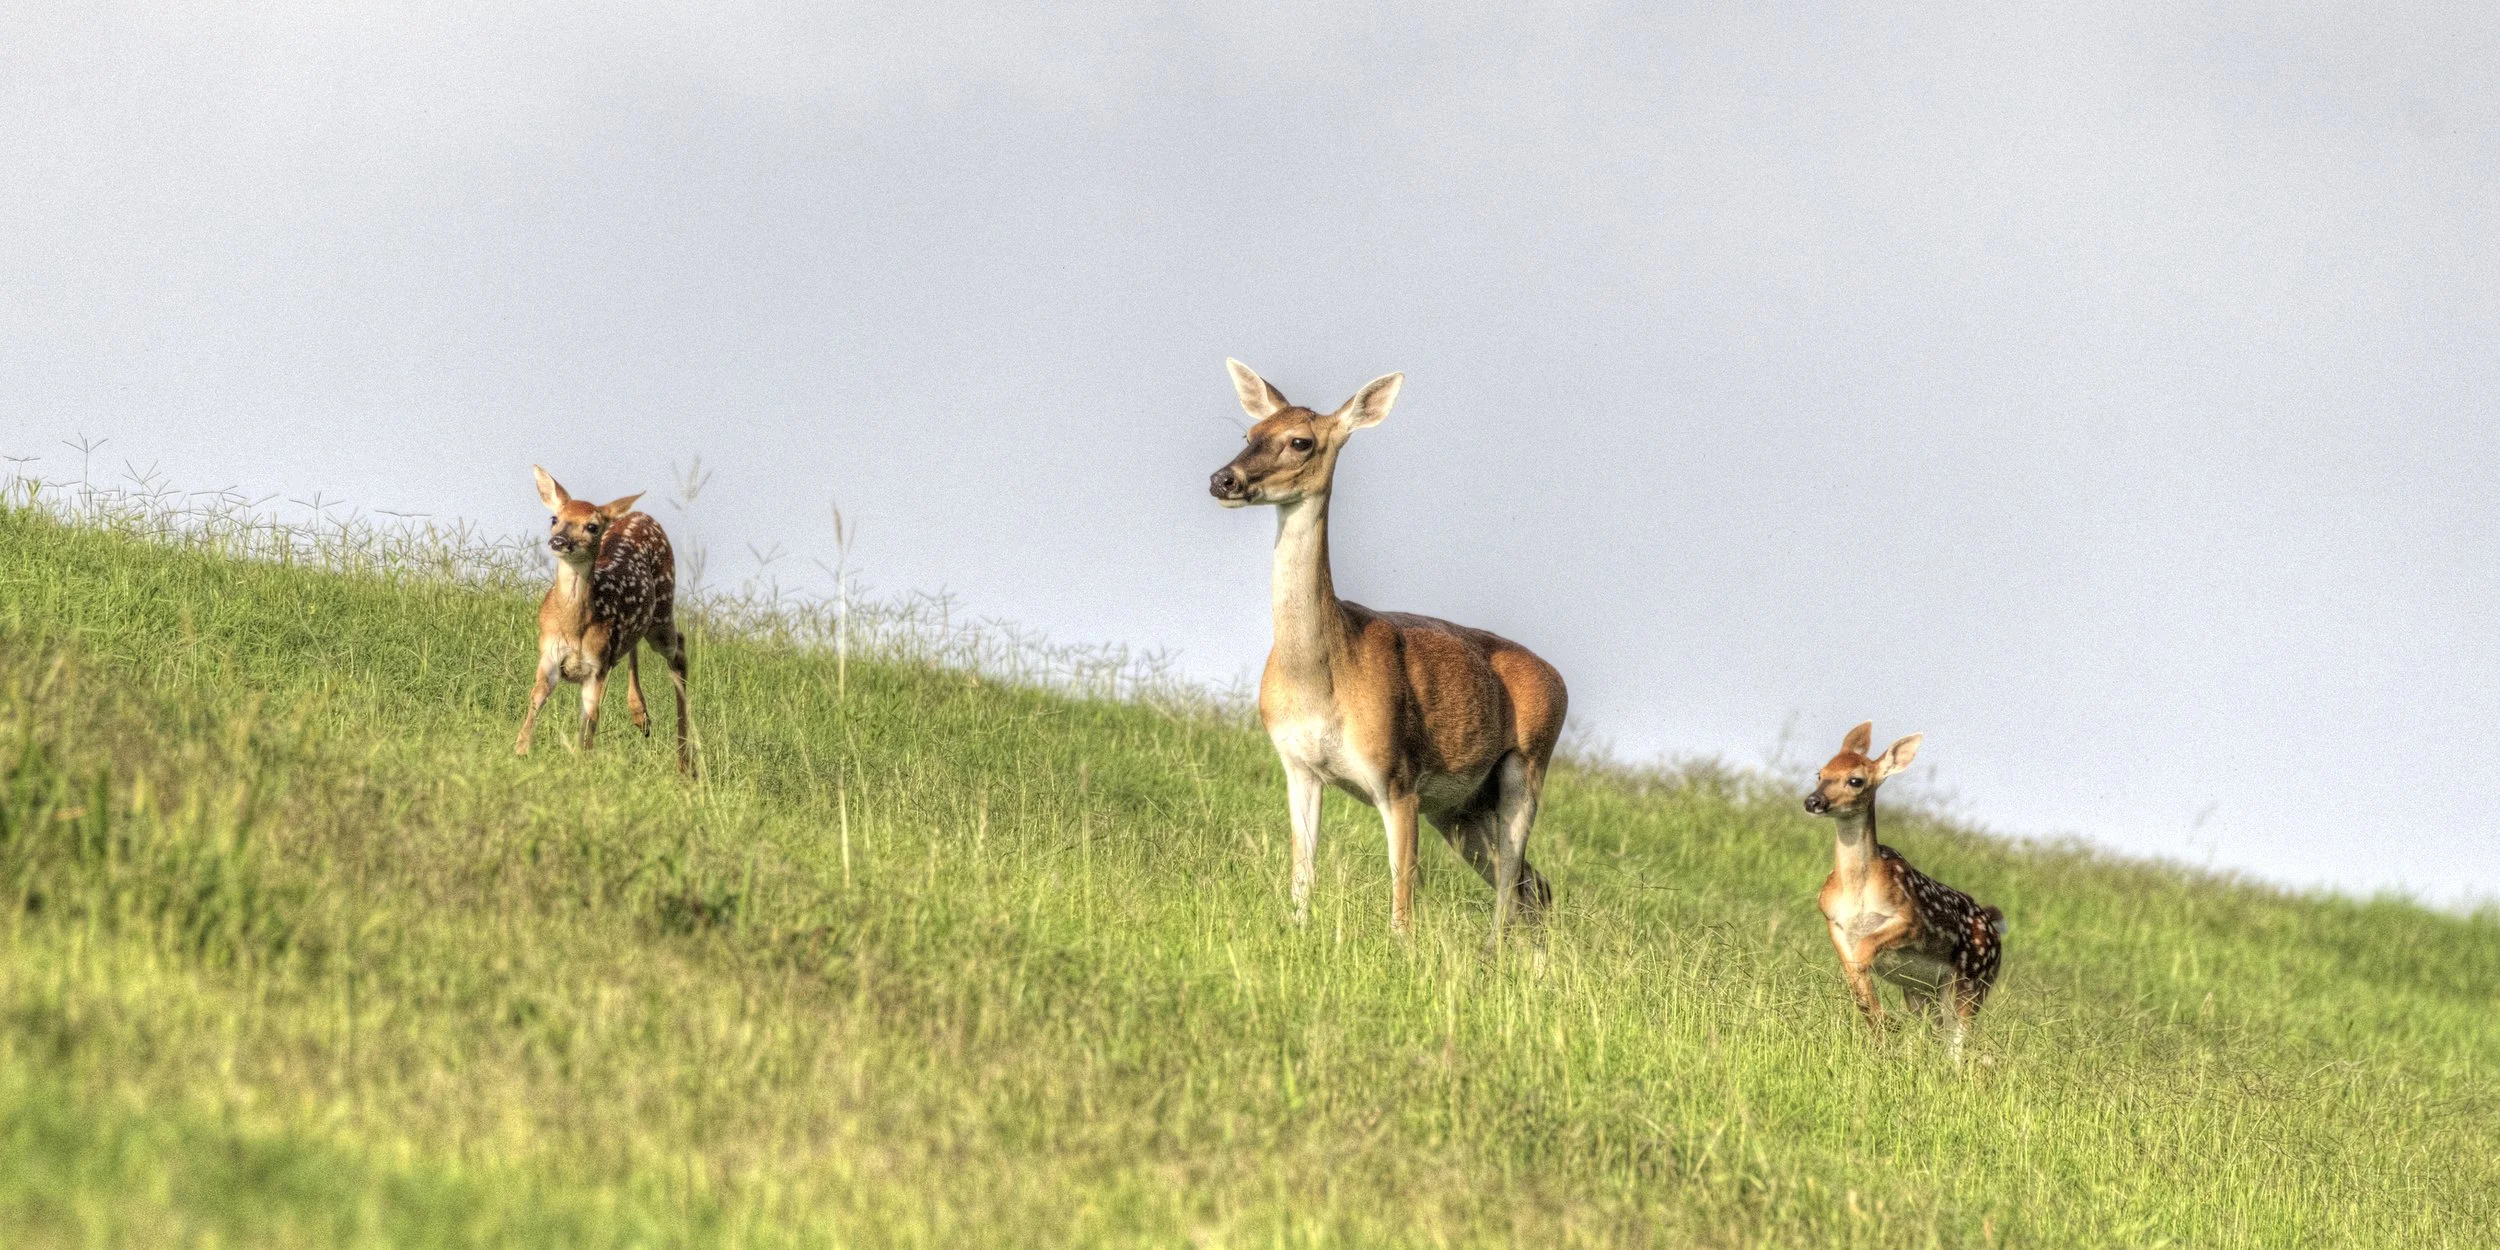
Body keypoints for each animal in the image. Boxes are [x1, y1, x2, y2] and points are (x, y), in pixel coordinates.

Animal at [514, 466, 694, 775]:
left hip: (661, 611)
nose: (559, 541)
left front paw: (582, 762)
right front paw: (520, 750)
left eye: (592, 526)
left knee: (679, 650)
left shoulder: (596, 666)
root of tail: (641, 514)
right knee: (633, 647)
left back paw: (683, 762)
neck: (575, 624)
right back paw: (640, 715)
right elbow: (537, 696)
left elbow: (591, 715)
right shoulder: (549, 653)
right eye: (554, 518)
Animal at [1207, 360, 1568, 948]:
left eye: (1301, 440)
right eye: (1250, 433)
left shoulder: (1398, 776)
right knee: (1533, 886)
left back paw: (1493, 952)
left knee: (1512, 884)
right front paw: (1298, 929)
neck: (1322, 677)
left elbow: (1403, 896)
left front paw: (1401, 951)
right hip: (1461, 809)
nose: (1224, 480)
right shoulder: (1298, 765)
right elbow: (1302, 873)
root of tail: (1559, 680)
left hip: (1527, 764)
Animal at [1803, 722, 2004, 1061]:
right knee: (1940, 1034)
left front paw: (1887, 1021)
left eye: (1856, 780)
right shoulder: (1832, 919)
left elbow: (1865, 951)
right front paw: (1882, 1029)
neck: (1857, 891)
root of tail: (1995, 927)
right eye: (1821, 773)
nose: (1813, 802)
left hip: (1972, 983)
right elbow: (1854, 978)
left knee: (1958, 1046)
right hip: (1922, 991)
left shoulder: (1912, 920)